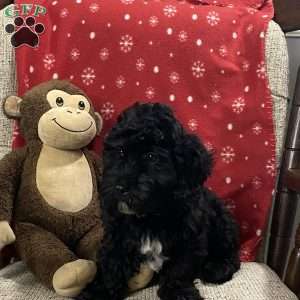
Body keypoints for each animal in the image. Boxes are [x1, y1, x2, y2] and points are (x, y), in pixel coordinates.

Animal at [78, 103, 240, 300]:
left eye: (151, 157)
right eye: (120, 152)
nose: (120, 188)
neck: (150, 216)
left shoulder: (190, 237)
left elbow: (180, 268)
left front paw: (179, 292)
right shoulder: (117, 234)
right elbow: (112, 264)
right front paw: (98, 292)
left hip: (222, 220)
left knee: (230, 252)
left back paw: (218, 267)